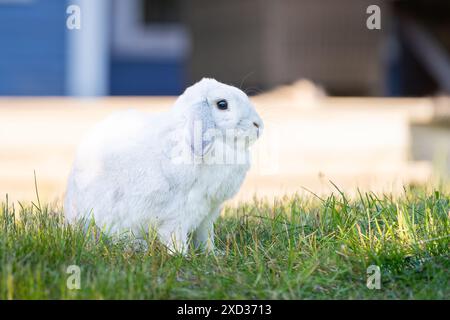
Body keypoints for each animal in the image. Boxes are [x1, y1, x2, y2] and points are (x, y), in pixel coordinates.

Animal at [63, 79, 264, 254]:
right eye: (222, 104)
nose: (258, 125)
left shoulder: (208, 214)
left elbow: (206, 236)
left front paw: (212, 254)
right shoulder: (175, 215)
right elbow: (175, 237)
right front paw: (181, 256)